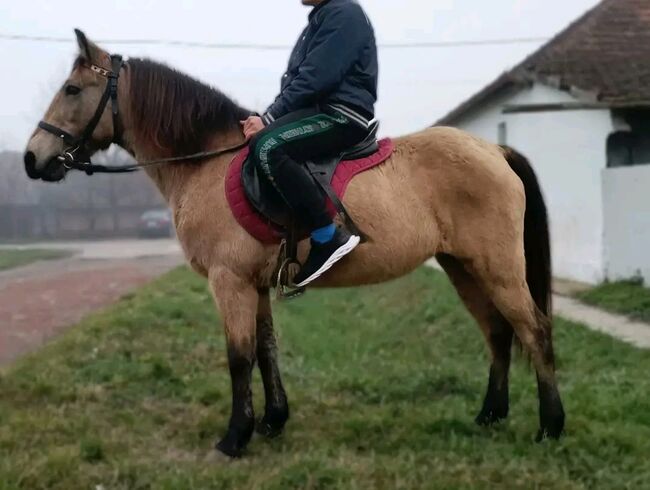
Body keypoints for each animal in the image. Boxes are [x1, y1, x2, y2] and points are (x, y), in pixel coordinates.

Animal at [21, 31, 560, 460]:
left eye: (73, 89)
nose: (31, 158)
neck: (206, 163)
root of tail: (495, 150)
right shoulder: (254, 284)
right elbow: (266, 349)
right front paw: (273, 420)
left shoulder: (229, 282)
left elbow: (238, 357)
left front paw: (234, 438)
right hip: (463, 267)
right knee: (498, 333)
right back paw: (490, 415)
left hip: (497, 268)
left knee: (534, 330)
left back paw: (550, 428)